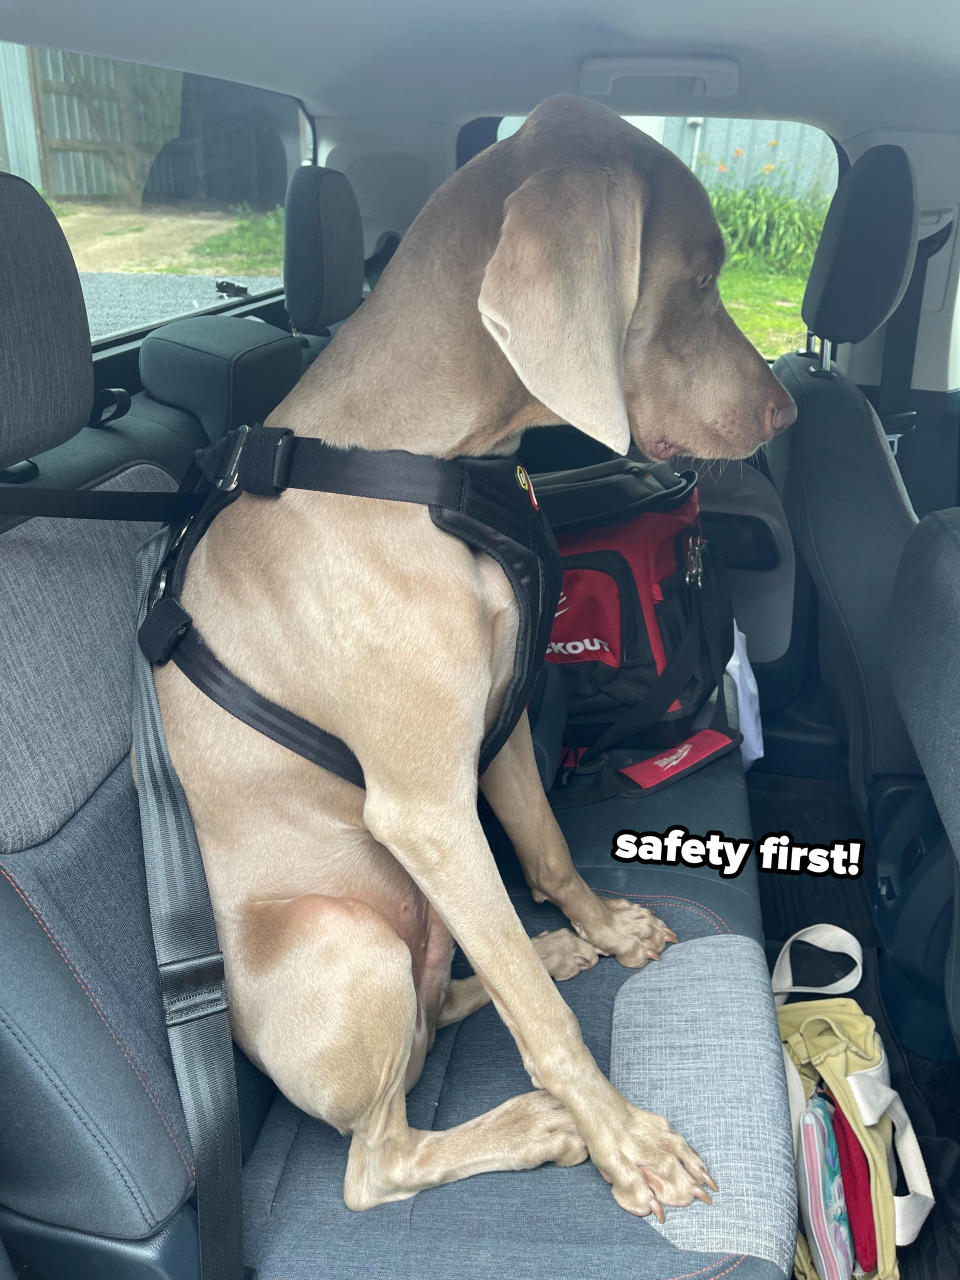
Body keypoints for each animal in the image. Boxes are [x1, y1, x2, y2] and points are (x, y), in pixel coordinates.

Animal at [156, 97, 798, 1218]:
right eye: (699, 281)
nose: (787, 411)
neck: (429, 462)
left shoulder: (498, 724)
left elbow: (544, 849)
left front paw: (601, 925)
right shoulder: (427, 805)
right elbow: (541, 1019)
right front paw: (627, 1139)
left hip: (421, 919)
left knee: (449, 997)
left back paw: (553, 947)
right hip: (347, 939)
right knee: (377, 1157)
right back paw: (537, 1124)